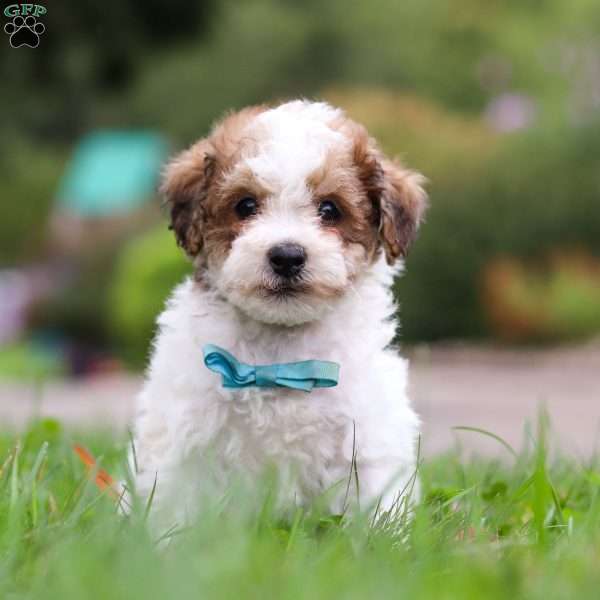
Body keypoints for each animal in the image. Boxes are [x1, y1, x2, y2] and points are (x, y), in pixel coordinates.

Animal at [132, 99, 426, 528]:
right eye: (246, 205)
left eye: (329, 209)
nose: (287, 256)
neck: (280, 353)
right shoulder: (187, 438)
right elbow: (179, 504)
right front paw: (169, 540)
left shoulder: (366, 437)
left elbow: (374, 502)